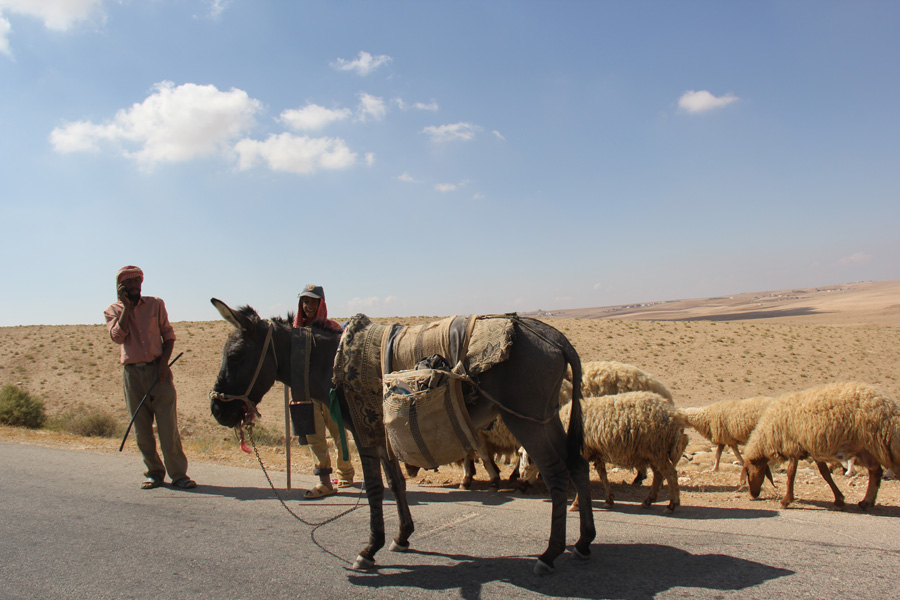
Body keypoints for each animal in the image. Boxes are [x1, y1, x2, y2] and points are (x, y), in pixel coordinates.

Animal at [520, 392, 688, 512]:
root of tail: (674, 414)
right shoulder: (596, 453)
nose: (521, 477)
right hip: (653, 452)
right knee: (659, 475)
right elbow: (603, 475)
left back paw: (672, 504)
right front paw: (609, 499)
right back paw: (648, 501)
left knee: (670, 474)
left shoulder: (582, 453)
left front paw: (576, 504)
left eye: (524, 455)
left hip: (657, 449)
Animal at [740, 382, 900, 508]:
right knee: (875, 471)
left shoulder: (793, 445)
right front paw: (839, 499)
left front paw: (786, 501)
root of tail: (890, 405)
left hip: (880, 444)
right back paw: (866, 502)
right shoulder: (811, 448)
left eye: (748, 473)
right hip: (865, 449)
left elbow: (791, 474)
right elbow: (825, 473)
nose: (753, 495)